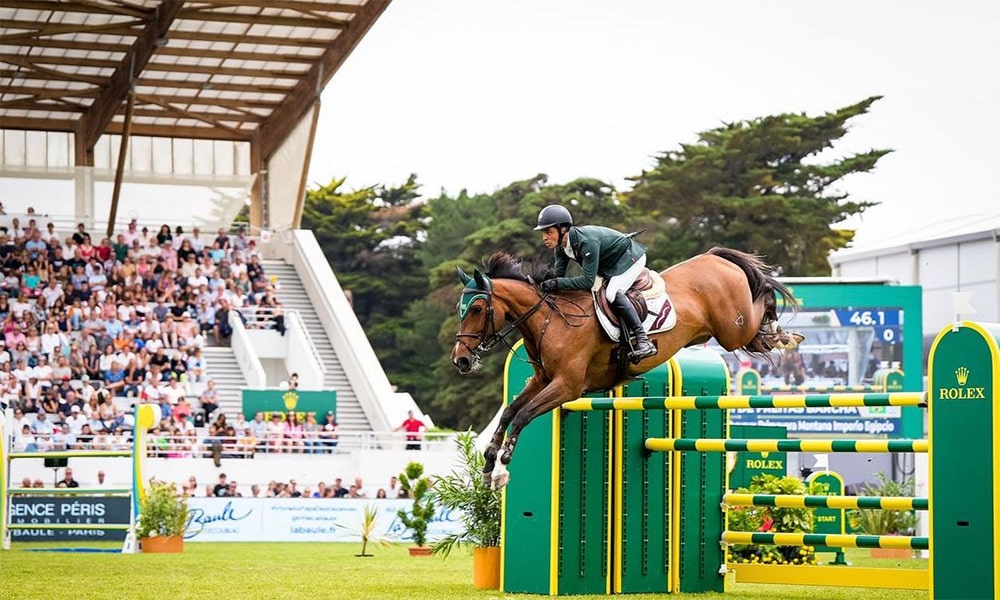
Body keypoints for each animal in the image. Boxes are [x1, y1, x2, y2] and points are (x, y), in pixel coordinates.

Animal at [454, 246, 804, 490]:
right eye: (461, 309)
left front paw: (503, 467)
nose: (461, 360)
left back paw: (785, 335)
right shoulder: (542, 380)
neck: (550, 320)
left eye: (477, 308)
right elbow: (509, 412)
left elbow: (524, 415)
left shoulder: (567, 386)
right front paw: (488, 466)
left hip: (733, 330)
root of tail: (715, 258)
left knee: (762, 304)